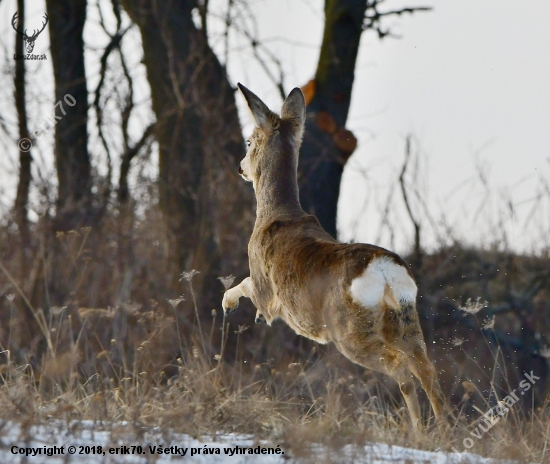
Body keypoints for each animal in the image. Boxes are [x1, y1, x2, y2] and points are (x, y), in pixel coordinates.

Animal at [222, 83, 450, 432]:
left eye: (249, 141)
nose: (240, 167)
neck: (276, 214)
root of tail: (384, 272)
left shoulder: (266, 290)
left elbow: (246, 285)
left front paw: (229, 305)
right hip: (406, 319)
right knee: (426, 368)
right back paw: (444, 430)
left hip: (349, 331)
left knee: (398, 365)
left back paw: (418, 430)